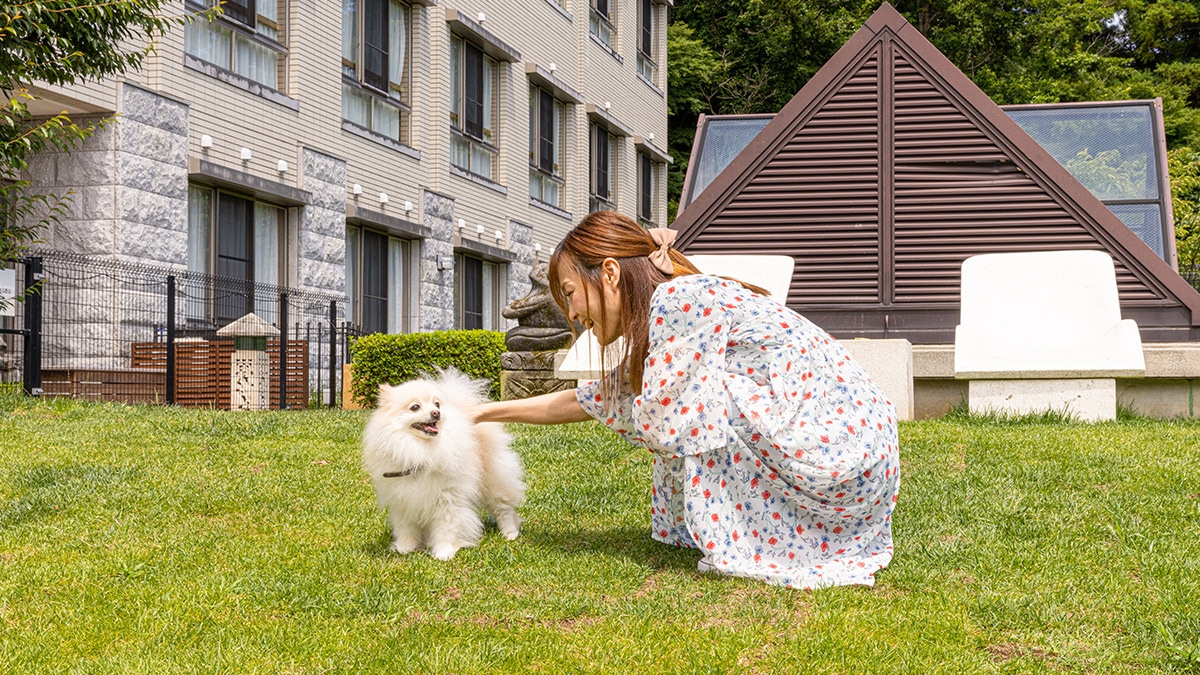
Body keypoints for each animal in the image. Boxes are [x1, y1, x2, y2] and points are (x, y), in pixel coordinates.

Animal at [357, 367, 523, 557]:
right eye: (415, 407)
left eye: (436, 404)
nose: (436, 412)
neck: (420, 450)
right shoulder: (403, 500)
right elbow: (405, 528)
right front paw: (404, 548)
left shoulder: (448, 498)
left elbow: (447, 527)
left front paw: (444, 552)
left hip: (494, 479)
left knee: (504, 508)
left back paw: (510, 533)